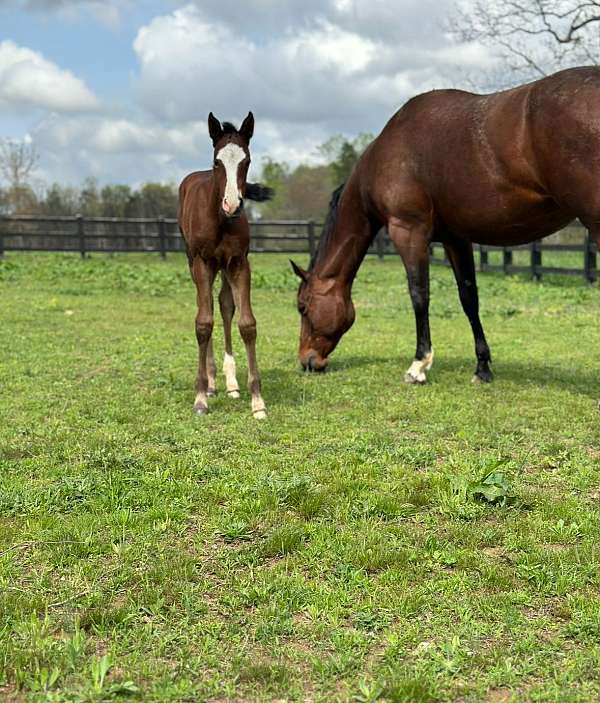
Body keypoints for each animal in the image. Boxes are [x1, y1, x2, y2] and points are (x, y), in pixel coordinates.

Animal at [178, 111, 272, 418]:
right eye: (217, 162)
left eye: (247, 161)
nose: (233, 204)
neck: (220, 219)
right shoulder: (202, 263)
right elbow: (203, 323)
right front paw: (200, 397)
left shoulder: (239, 263)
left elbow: (246, 323)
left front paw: (257, 401)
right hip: (196, 263)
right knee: (206, 305)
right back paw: (210, 383)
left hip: (224, 267)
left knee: (225, 305)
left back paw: (231, 383)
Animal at [291, 66, 600, 384]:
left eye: (302, 306)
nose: (307, 360)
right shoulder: (456, 238)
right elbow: (469, 298)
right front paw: (482, 368)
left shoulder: (408, 231)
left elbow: (419, 294)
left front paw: (419, 365)